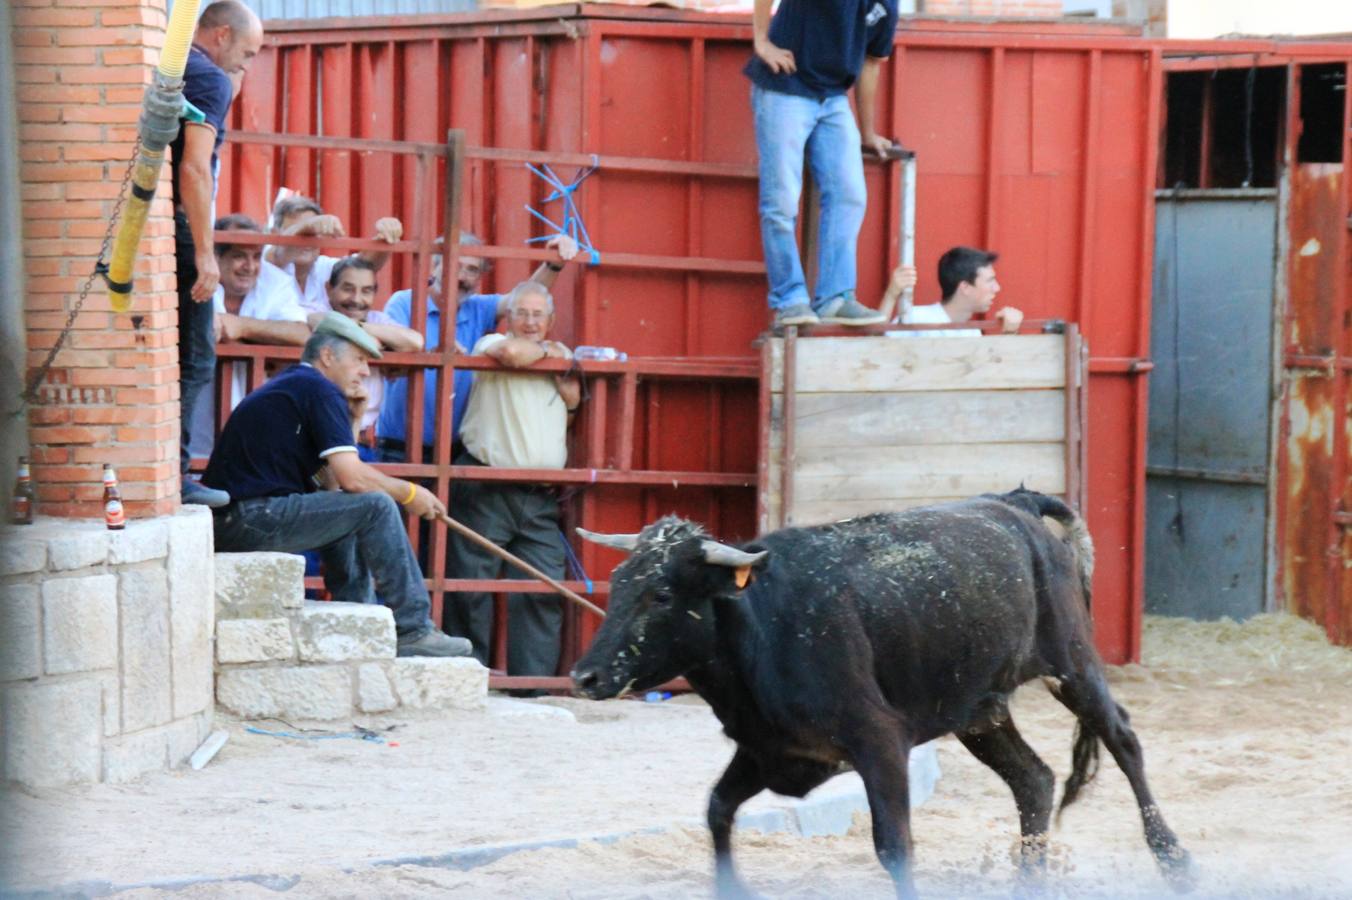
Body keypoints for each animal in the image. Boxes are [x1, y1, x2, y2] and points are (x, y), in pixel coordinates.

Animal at [570, 491, 1195, 897]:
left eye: (660, 594)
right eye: (619, 582)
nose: (585, 677)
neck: (766, 623)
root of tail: (1015, 505)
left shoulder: (879, 743)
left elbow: (894, 846)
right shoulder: (769, 751)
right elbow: (718, 810)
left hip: (1072, 664)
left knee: (1122, 738)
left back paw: (1174, 859)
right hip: (980, 712)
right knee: (1034, 780)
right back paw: (1029, 882)